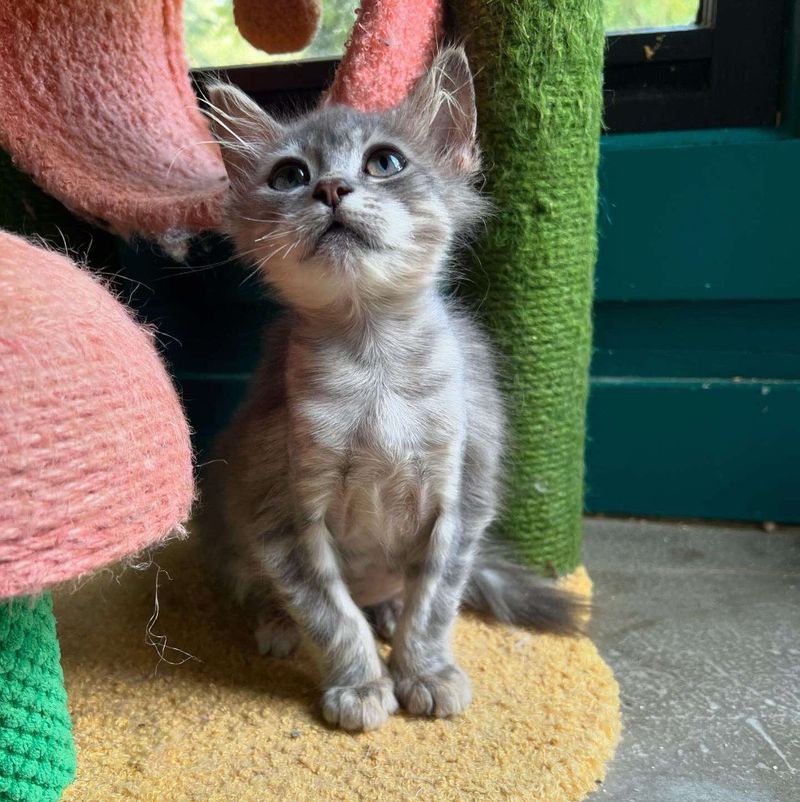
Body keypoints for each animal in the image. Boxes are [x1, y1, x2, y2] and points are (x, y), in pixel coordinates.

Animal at [197, 47, 580, 728]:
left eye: (385, 163)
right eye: (288, 175)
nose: (329, 189)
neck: (373, 366)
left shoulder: (461, 495)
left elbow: (434, 603)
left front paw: (422, 670)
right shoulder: (281, 512)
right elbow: (329, 612)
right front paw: (359, 683)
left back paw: (387, 609)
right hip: (230, 530)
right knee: (264, 589)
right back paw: (278, 622)